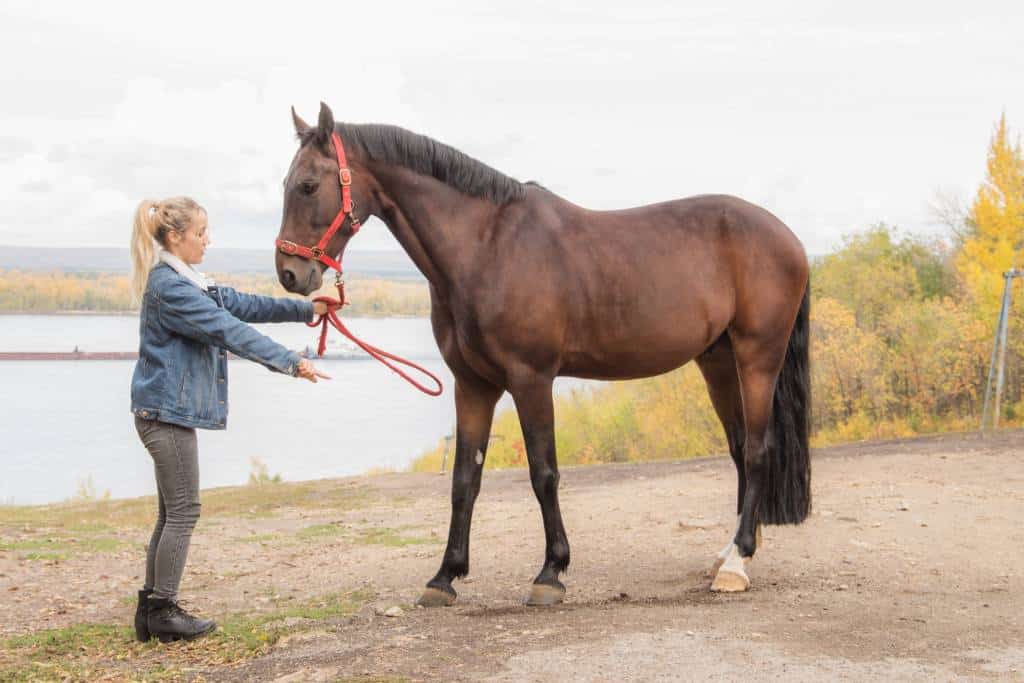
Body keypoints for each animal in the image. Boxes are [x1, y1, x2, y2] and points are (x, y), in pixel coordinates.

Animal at [276, 102, 811, 606]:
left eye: (308, 186)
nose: (289, 274)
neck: (486, 247)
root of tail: (787, 237)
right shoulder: (474, 385)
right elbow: (464, 479)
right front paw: (445, 576)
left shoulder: (531, 379)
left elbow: (543, 472)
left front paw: (551, 572)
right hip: (717, 363)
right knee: (740, 448)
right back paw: (730, 552)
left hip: (757, 358)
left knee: (758, 451)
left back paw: (737, 564)